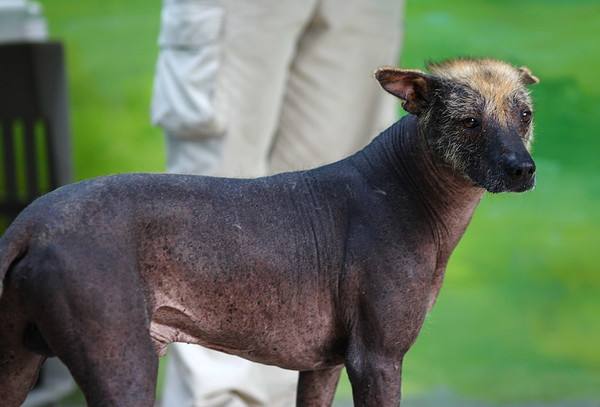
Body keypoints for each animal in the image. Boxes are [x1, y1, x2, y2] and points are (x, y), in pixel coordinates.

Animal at [0, 58, 536, 407]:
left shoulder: (323, 365)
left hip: (17, 365)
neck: (406, 185)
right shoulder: (378, 359)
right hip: (122, 363)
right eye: (469, 122)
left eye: (525, 115)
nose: (523, 169)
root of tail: (31, 221)